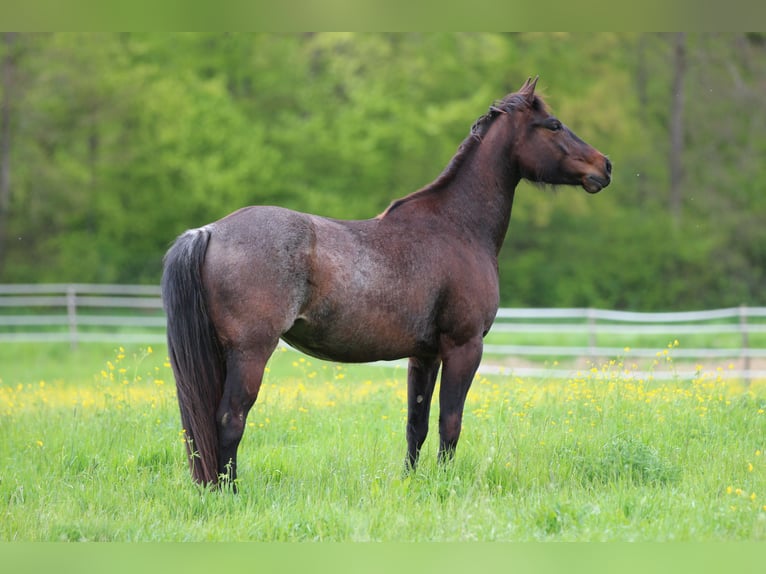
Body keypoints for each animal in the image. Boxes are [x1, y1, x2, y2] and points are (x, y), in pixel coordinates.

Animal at [162, 77, 611, 488]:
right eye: (554, 124)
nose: (604, 166)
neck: (456, 226)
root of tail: (209, 231)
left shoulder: (424, 355)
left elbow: (417, 424)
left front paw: (411, 483)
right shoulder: (464, 346)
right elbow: (450, 422)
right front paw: (446, 484)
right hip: (250, 352)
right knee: (230, 419)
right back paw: (230, 492)